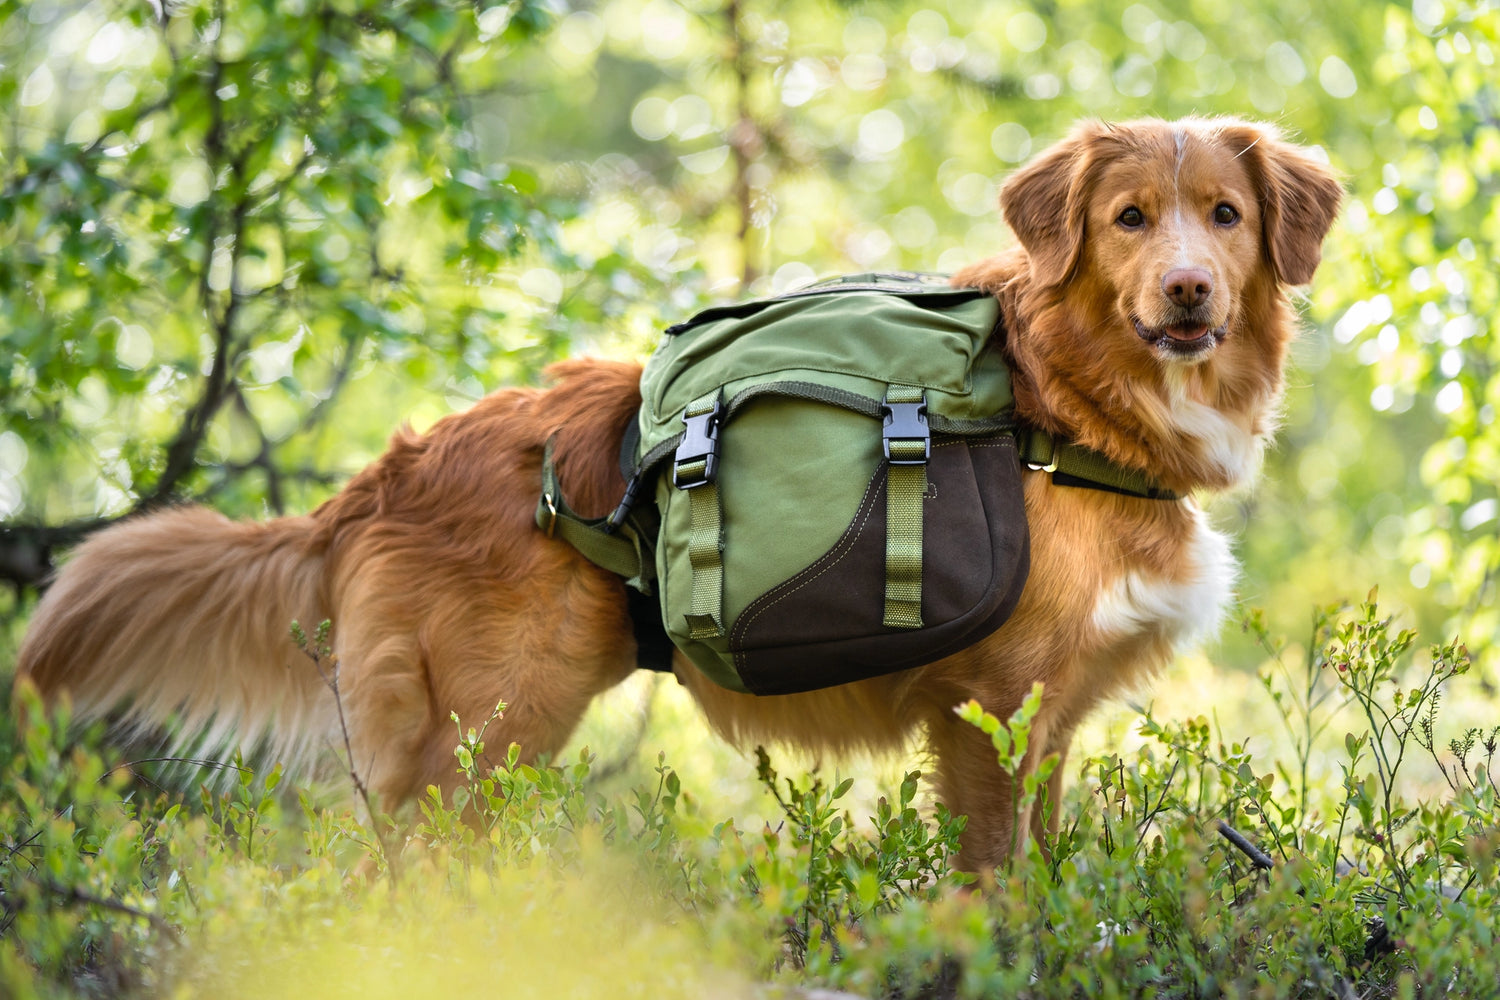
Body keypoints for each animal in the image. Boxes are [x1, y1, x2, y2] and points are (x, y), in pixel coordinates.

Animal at [11, 119, 1344, 875]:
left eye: (1225, 216)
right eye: (1129, 219)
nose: (1188, 290)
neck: (1061, 402)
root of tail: (391, 470)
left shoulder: (1048, 725)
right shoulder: (990, 710)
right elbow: (995, 883)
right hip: (476, 742)